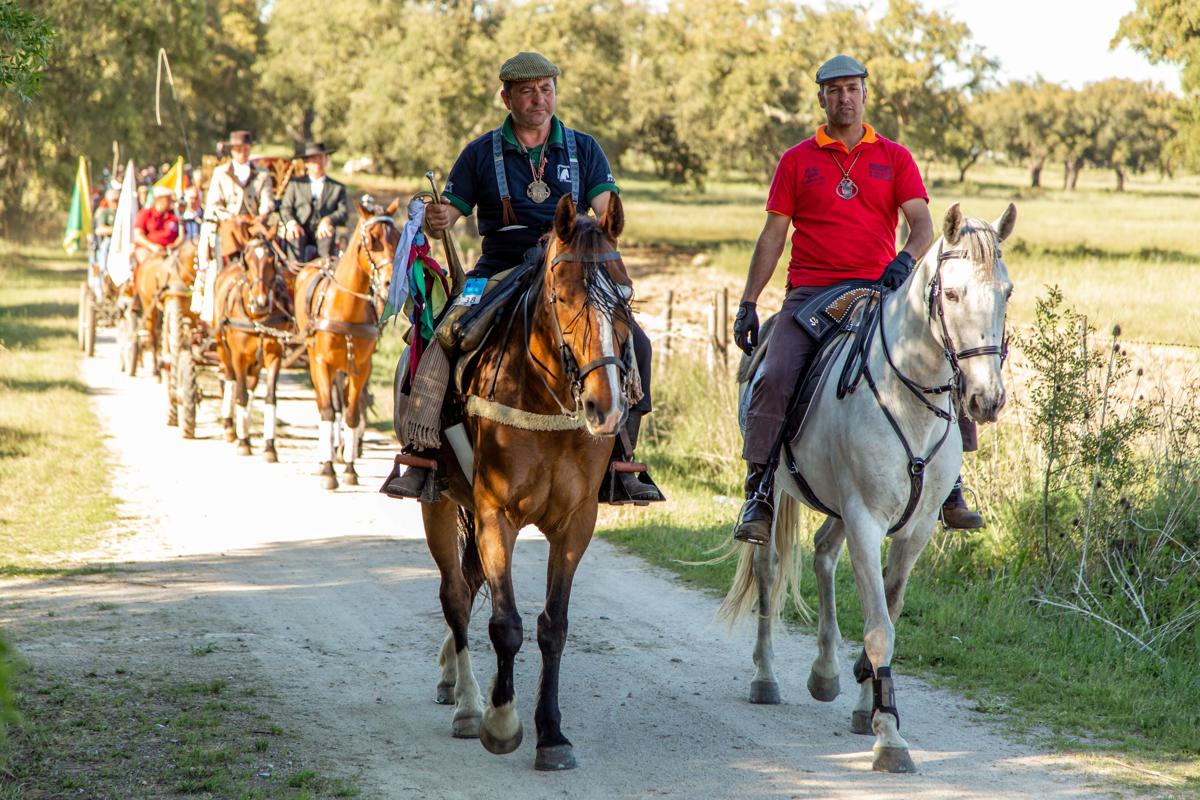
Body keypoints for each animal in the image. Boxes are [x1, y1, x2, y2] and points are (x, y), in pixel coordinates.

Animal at [213, 220, 290, 461]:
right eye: (248, 260)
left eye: (272, 259)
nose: (261, 301)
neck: (258, 318)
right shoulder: (238, 355)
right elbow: (240, 394)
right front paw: (243, 442)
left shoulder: (274, 354)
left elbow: (270, 397)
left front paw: (269, 446)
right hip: (222, 346)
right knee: (231, 379)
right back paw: (231, 427)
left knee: (251, 383)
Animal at [294, 199, 401, 489]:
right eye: (372, 239)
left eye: (398, 238)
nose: (389, 283)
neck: (346, 308)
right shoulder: (322, 363)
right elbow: (328, 412)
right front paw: (328, 469)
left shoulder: (361, 367)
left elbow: (351, 413)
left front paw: (350, 468)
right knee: (326, 405)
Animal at [414, 193, 635, 771]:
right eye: (562, 296)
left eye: (626, 295)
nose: (606, 408)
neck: (544, 398)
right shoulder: (496, 515)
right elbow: (505, 623)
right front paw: (502, 721)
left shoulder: (576, 524)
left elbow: (552, 626)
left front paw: (551, 733)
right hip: (439, 501)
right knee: (455, 593)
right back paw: (468, 704)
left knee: (469, 585)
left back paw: (453, 679)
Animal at [719, 202, 1016, 773]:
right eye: (951, 294)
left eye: (1006, 293)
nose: (985, 399)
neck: (908, 399)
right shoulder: (865, 520)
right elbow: (880, 628)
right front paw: (890, 737)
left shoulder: (912, 531)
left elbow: (889, 613)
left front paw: (867, 704)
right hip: (784, 494)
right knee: (769, 567)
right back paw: (766, 676)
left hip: (838, 508)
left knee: (822, 554)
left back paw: (826, 673)